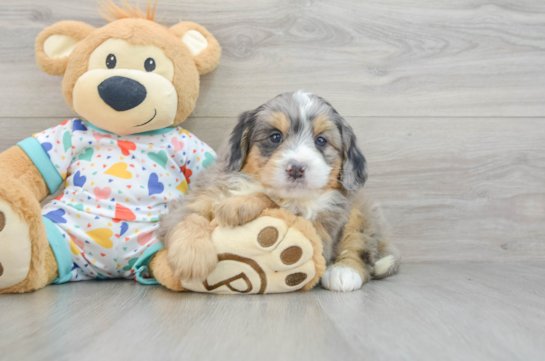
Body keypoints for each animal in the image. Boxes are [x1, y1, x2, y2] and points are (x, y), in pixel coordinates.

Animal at [157, 91, 400, 292]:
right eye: (275, 137)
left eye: (321, 141)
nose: (296, 168)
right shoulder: (200, 196)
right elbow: (188, 218)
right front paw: (191, 258)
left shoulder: (320, 228)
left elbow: (273, 200)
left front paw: (237, 206)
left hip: (362, 212)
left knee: (360, 246)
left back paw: (343, 273)